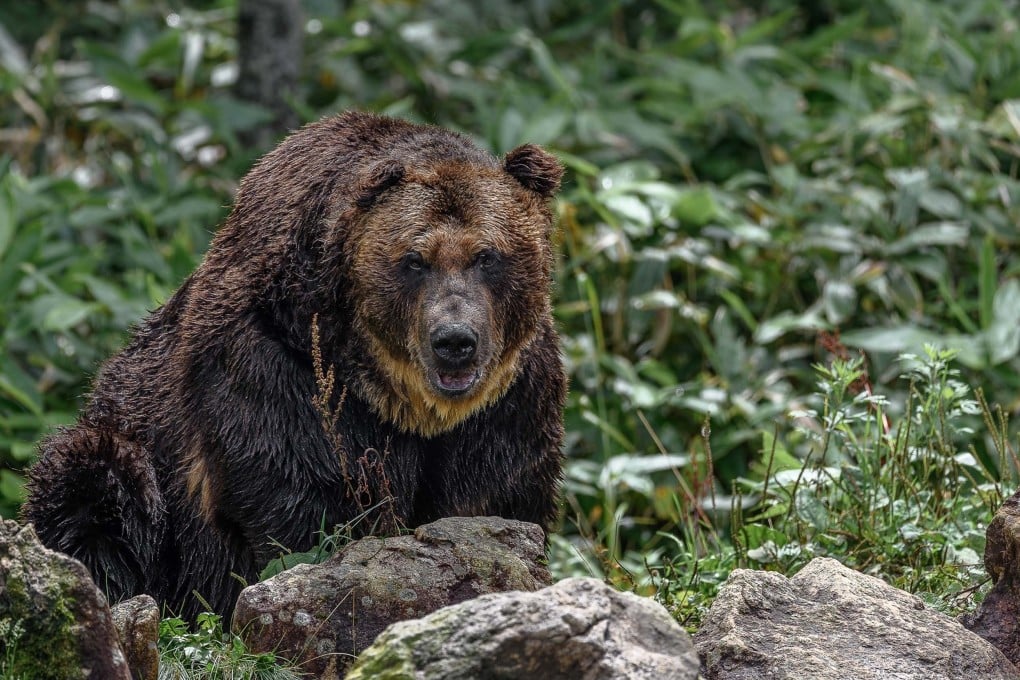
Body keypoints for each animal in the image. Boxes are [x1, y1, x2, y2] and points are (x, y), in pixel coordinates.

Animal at [21, 111, 567, 623]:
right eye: (415, 260)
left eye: (487, 256)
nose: (455, 341)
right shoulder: (275, 364)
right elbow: (299, 499)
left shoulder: (511, 396)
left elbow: (492, 494)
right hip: (135, 448)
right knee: (96, 480)